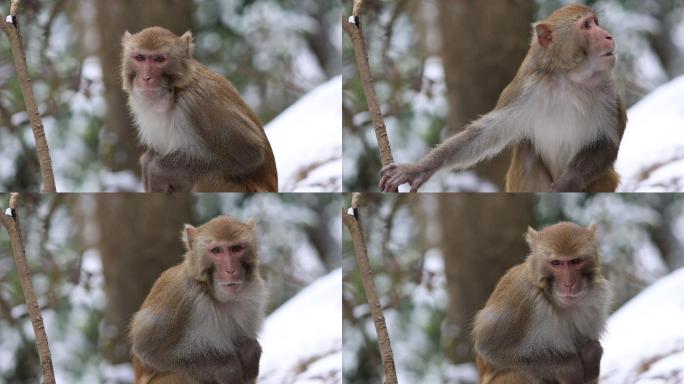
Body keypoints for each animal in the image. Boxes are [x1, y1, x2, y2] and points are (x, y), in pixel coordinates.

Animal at [121, 27, 278, 194]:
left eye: (159, 59)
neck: (174, 92)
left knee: (206, 179)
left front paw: (156, 169)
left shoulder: (198, 102)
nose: (146, 77)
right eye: (140, 58)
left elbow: (249, 154)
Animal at [128, 216, 268, 384]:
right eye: (217, 250)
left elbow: (249, 349)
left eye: (236, 248)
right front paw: (227, 369)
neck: (212, 294)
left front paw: (249, 354)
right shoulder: (180, 296)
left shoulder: (253, 298)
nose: (230, 270)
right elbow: (148, 351)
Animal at [380, 4, 624, 192]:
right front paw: (419, 168)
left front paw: (567, 183)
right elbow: (486, 132)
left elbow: (609, 143)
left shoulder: (608, 91)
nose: (609, 35)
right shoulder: (526, 89)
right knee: (527, 155)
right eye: (587, 26)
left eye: (596, 22)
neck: (569, 79)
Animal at [472, 222, 612, 384]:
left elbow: (590, 350)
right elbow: (490, 348)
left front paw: (591, 354)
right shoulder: (520, 297)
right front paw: (569, 368)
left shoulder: (597, 300)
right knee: (520, 373)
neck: (553, 299)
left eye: (575, 261)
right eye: (556, 263)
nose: (568, 284)